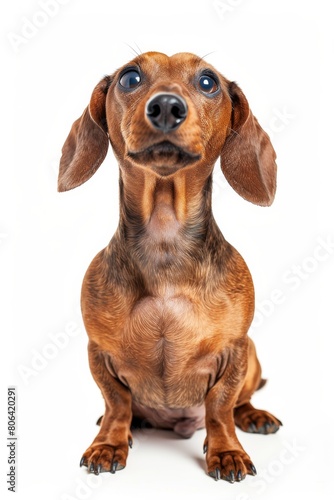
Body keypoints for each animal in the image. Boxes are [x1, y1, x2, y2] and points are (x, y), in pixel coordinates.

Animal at [58, 49, 282, 480]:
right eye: (130, 77)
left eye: (208, 82)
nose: (166, 107)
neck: (165, 242)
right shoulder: (99, 351)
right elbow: (117, 401)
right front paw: (109, 442)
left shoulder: (235, 350)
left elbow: (220, 407)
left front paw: (226, 451)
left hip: (253, 356)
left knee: (240, 401)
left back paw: (254, 416)